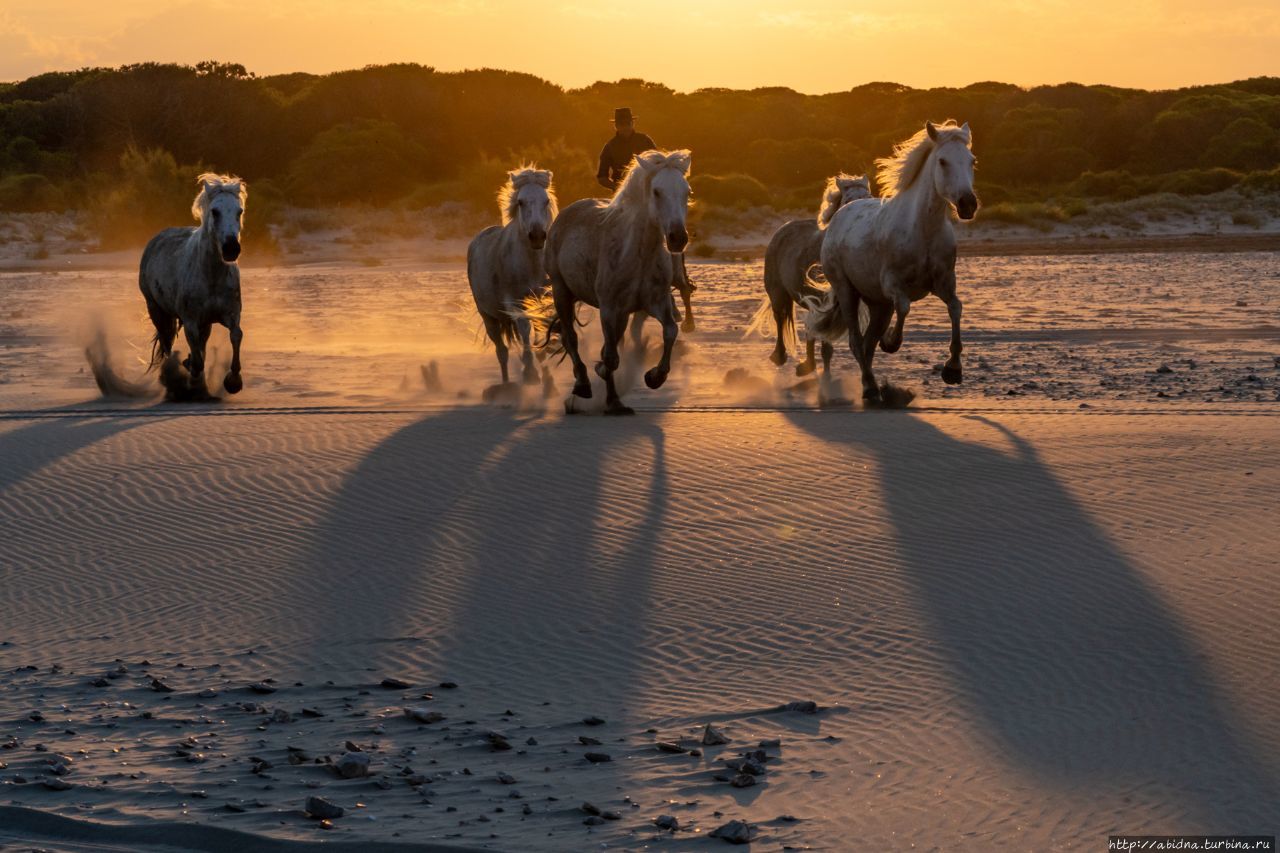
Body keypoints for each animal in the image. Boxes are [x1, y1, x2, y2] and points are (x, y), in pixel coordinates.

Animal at [141, 175, 248, 399]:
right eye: (215, 211)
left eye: (239, 211)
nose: (231, 249)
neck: (211, 275)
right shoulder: (191, 321)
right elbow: (197, 362)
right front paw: (190, 371)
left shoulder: (231, 315)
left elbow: (236, 336)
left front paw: (233, 382)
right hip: (156, 310)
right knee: (167, 345)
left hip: (205, 323)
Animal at [465, 163, 555, 384]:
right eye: (521, 202)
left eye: (546, 200)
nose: (537, 236)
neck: (531, 264)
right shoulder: (515, 302)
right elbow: (525, 329)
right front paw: (530, 372)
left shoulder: (543, 299)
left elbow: (540, 326)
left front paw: (544, 364)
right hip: (489, 318)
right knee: (502, 352)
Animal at [537, 149, 696, 414]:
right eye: (657, 191)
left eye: (687, 192)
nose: (677, 238)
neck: (638, 254)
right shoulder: (609, 309)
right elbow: (610, 357)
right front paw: (601, 374)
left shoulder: (655, 303)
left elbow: (670, 331)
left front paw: (654, 377)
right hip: (562, 291)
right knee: (571, 338)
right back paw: (583, 385)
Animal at [757, 172, 870, 371]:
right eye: (848, 200)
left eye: (868, 196)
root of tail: (784, 227)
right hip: (777, 292)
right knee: (780, 319)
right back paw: (780, 356)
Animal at [808, 121, 977, 399]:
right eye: (942, 161)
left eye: (972, 160)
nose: (968, 205)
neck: (923, 230)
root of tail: (840, 214)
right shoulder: (893, 285)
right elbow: (905, 306)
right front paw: (891, 342)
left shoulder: (944, 283)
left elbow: (956, 307)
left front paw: (953, 370)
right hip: (847, 291)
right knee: (856, 341)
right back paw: (869, 387)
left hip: (878, 304)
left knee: (867, 344)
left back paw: (873, 385)